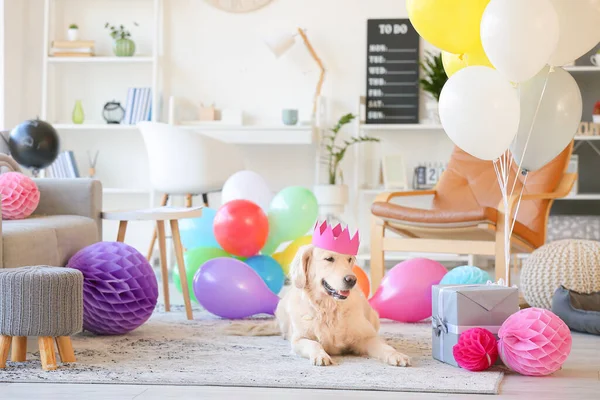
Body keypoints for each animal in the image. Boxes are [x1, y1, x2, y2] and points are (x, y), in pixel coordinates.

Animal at [227, 242, 410, 368]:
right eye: (329, 259)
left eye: (349, 259)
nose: (352, 280)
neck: (329, 308)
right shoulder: (299, 340)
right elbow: (313, 343)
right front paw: (320, 355)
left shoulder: (366, 337)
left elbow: (384, 346)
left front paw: (397, 355)